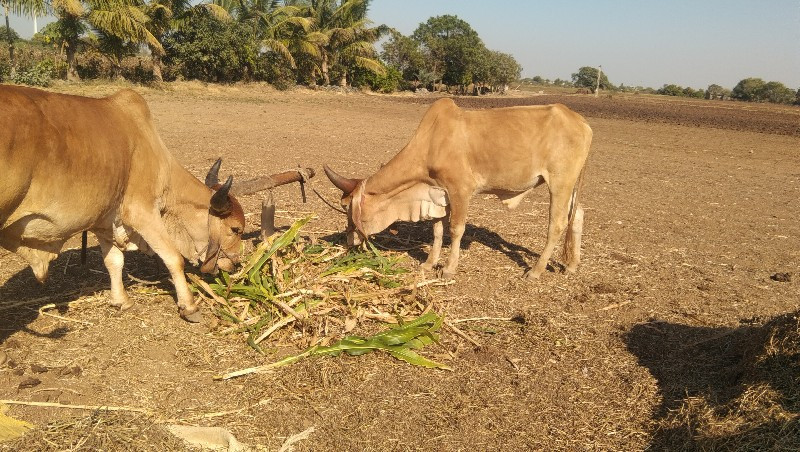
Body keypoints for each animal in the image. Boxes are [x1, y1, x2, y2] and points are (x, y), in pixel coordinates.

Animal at [0, 85, 310, 322]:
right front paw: (189, 306)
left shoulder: (106, 220)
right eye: (235, 230)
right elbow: (173, 258)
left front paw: (121, 301)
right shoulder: (143, 213)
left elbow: (113, 261)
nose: (236, 263)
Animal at [324, 98, 592, 280]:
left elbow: (456, 230)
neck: (431, 142)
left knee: (557, 224)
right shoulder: (439, 194)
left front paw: (449, 268)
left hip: (559, 182)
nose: (348, 241)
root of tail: (581, 122)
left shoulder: (460, 190)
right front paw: (429, 263)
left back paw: (535, 271)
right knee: (577, 215)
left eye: (346, 207)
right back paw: (571, 265)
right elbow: (437, 230)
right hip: (569, 186)